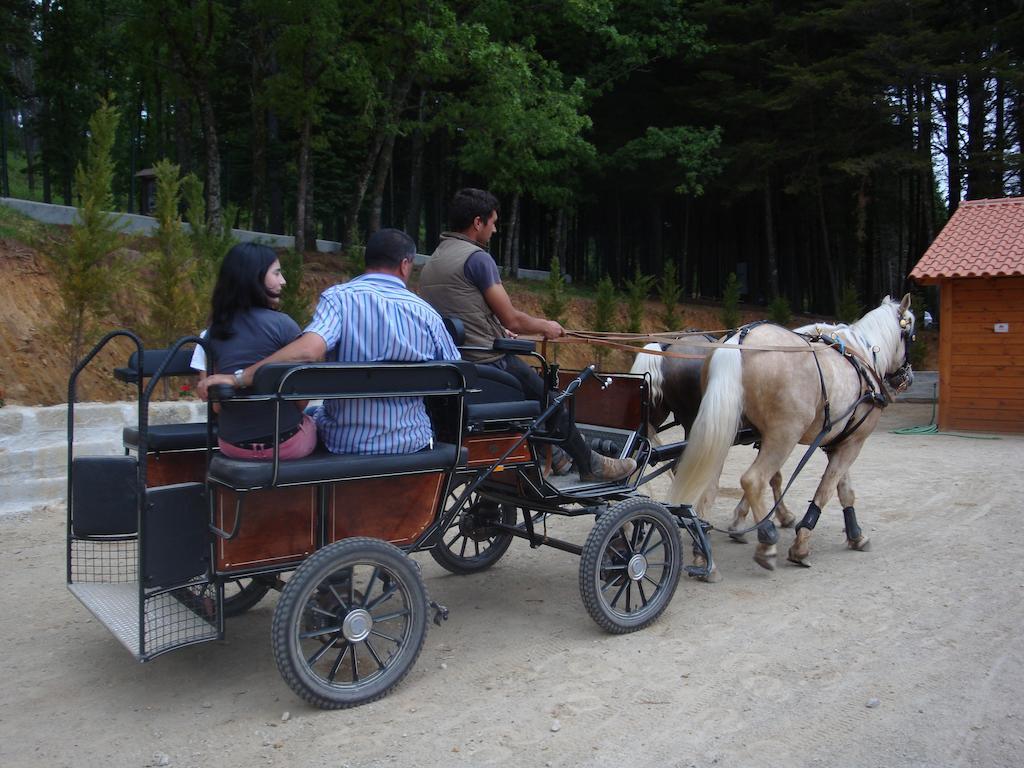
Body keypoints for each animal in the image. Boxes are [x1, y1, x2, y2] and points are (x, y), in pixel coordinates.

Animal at [667, 294, 917, 573]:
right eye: (911, 336)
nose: (907, 376)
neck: (862, 357)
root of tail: (739, 339)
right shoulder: (854, 442)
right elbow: (825, 490)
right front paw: (801, 543)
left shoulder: (840, 440)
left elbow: (844, 489)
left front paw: (855, 534)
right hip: (783, 436)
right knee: (753, 480)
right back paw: (766, 540)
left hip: (723, 431)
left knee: (710, 482)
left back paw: (702, 552)